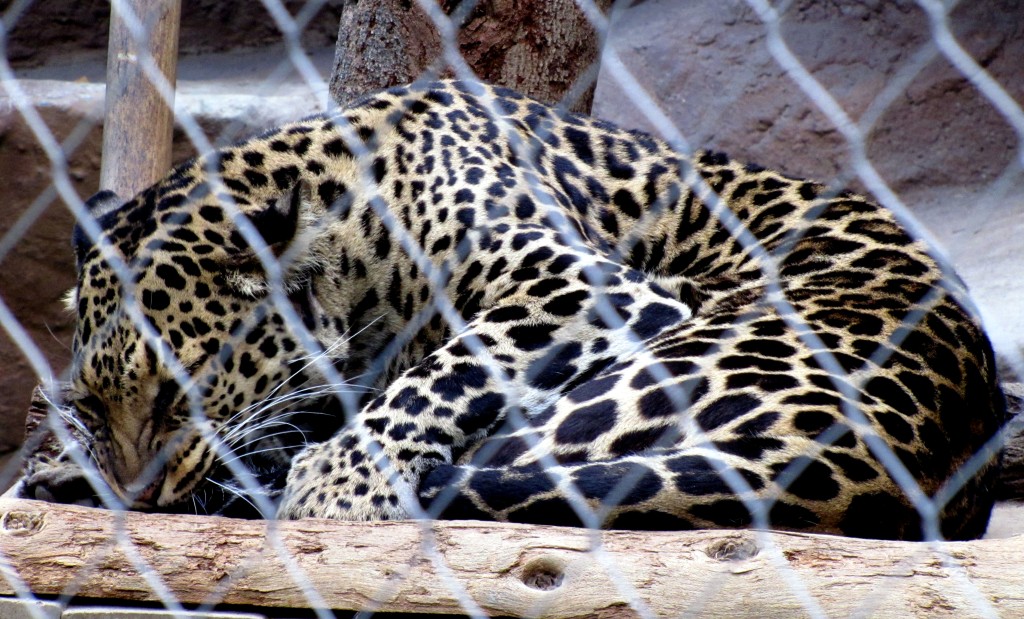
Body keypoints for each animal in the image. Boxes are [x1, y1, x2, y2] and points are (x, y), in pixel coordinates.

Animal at [19, 79, 1003, 541]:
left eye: (178, 396)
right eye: (99, 401)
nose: (138, 496)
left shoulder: (585, 286)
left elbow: (441, 370)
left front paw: (339, 478)